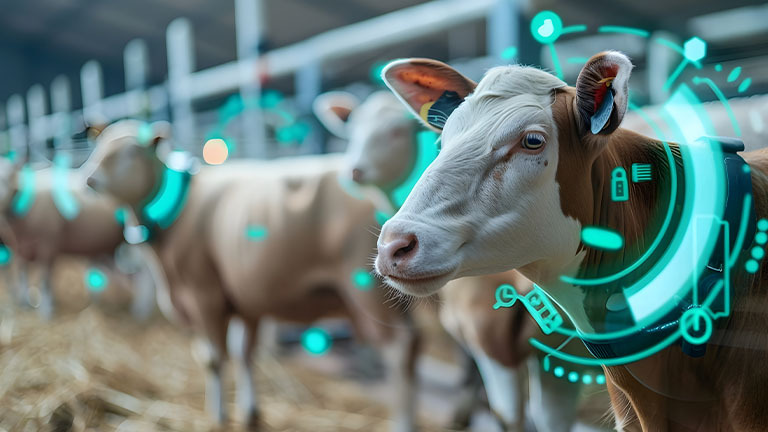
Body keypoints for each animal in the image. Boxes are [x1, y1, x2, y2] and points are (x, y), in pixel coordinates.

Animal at [82, 120, 420, 431]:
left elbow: (213, 358)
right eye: (98, 146)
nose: (90, 179)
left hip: (366, 289)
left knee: (400, 349)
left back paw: (403, 423)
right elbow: (243, 353)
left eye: (131, 153)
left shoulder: (203, 292)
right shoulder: (246, 298)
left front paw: (218, 416)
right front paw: (250, 414)